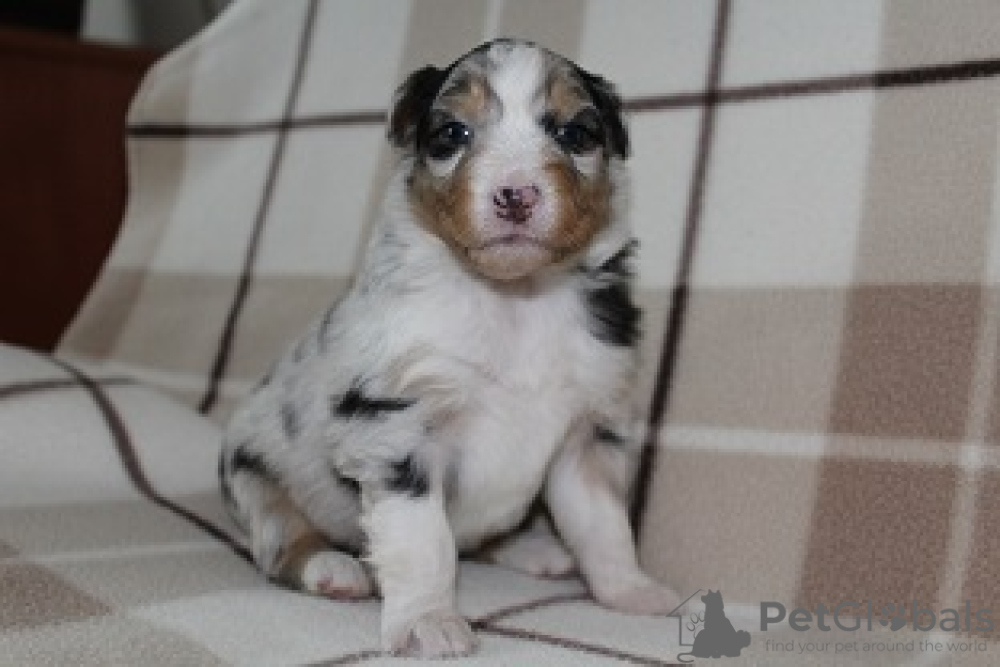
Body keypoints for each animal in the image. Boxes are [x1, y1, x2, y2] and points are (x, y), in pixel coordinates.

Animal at [219, 38, 679, 658]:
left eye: (575, 133)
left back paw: (534, 549)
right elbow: (424, 543)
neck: (516, 297)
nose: (515, 194)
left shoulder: (587, 434)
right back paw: (333, 569)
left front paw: (632, 591)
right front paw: (427, 622)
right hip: (255, 479)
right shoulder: (396, 428)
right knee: (280, 542)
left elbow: (603, 523)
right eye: (451, 134)